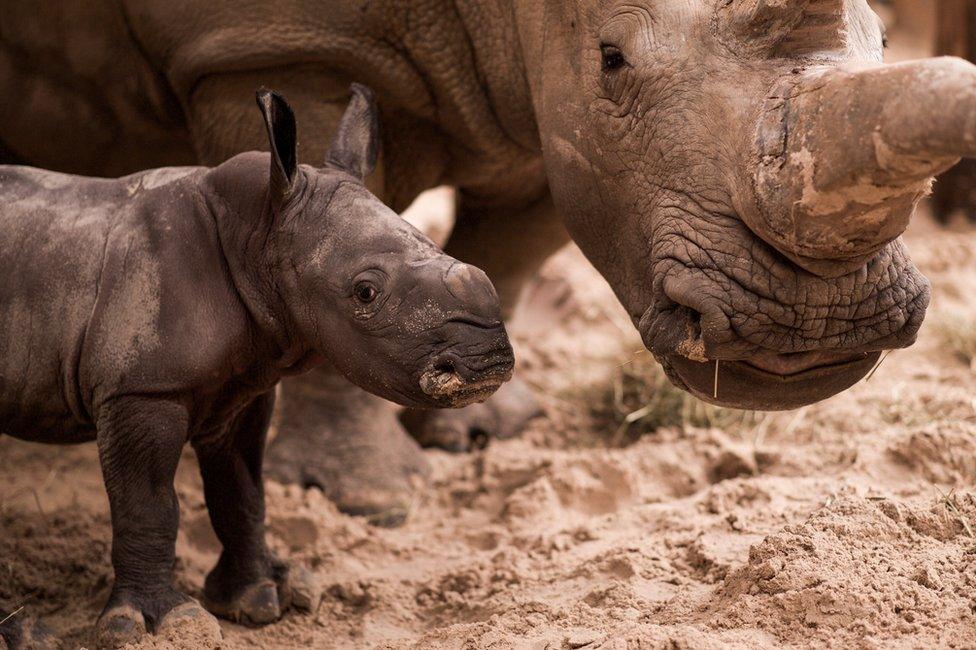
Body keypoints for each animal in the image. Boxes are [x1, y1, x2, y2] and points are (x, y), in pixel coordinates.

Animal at [0, 87, 516, 648]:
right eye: (365, 292)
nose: (490, 361)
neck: (258, 233)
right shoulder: (141, 389)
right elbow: (148, 505)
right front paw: (160, 624)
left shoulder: (243, 385)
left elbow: (243, 494)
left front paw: (263, 597)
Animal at [1, 0, 960, 520]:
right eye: (612, 60)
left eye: (886, 43)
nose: (813, 333)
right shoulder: (274, 45)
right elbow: (321, 244)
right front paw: (363, 499)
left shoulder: (545, 105)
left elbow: (517, 244)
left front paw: (478, 425)